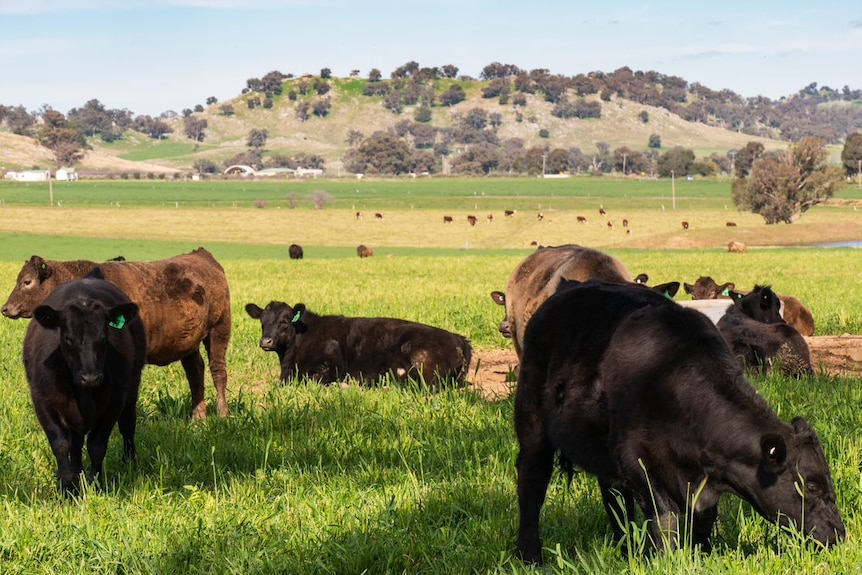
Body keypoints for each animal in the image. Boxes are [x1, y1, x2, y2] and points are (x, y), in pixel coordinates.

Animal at [2, 248, 233, 418]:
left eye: (27, 282)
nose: (5, 308)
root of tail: (201, 254)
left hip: (219, 330)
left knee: (218, 371)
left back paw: (222, 414)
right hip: (189, 343)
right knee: (195, 372)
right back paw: (198, 419)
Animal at [22, 270, 147, 496]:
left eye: (105, 337)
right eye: (67, 338)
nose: (91, 377)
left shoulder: (115, 401)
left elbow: (97, 445)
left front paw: (94, 484)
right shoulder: (42, 400)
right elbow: (61, 443)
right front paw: (68, 487)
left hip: (132, 388)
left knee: (127, 425)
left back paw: (129, 462)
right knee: (76, 443)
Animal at [516, 282, 848, 564]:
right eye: (812, 486)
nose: (839, 534)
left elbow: (703, 518)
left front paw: (702, 554)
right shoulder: (637, 461)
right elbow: (665, 518)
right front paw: (668, 559)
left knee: (615, 498)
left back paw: (625, 548)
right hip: (532, 423)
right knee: (532, 483)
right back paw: (529, 556)